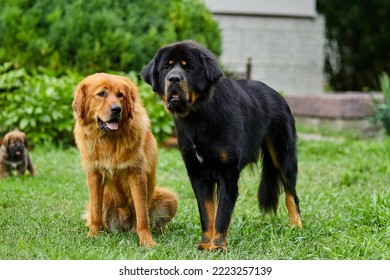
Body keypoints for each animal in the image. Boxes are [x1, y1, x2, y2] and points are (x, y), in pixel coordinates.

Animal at [72, 73, 177, 246]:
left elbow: (142, 215)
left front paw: (147, 241)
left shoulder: (136, 175)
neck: (109, 140)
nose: (116, 109)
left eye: (120, 95)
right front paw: (93, 235)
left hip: (170, 198)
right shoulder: (94, 174)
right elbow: (95, 211)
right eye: (101, 94)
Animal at [142, 41, 304, 252]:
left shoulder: (227, 175)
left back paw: (296, 227)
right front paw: (206, 243)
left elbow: (222, 215)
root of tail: (278, 94)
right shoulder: (198, 174)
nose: (174, 79)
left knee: (291, 194)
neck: (198, 117)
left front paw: (218, 246)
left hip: (284, 156)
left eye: (188, 67)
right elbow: (207, 212)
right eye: (166, 68)